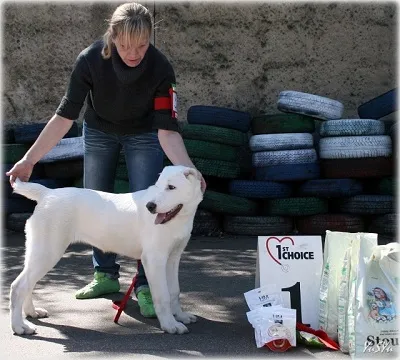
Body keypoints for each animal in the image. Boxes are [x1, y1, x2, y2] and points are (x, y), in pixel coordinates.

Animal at [9, 165, 203, 334]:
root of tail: (47, 193)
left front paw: (180, 316)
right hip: (48, 252)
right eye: (157, 186)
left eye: (171, 187)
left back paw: (32, 312)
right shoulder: (155, 259)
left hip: (38, 251)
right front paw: (170, 324)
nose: (150, 206)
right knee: (19, 286)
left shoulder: (173, 258)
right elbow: (162, 295)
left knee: (28, 283)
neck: (179, 219)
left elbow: (174, 291)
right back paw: (20, 327)